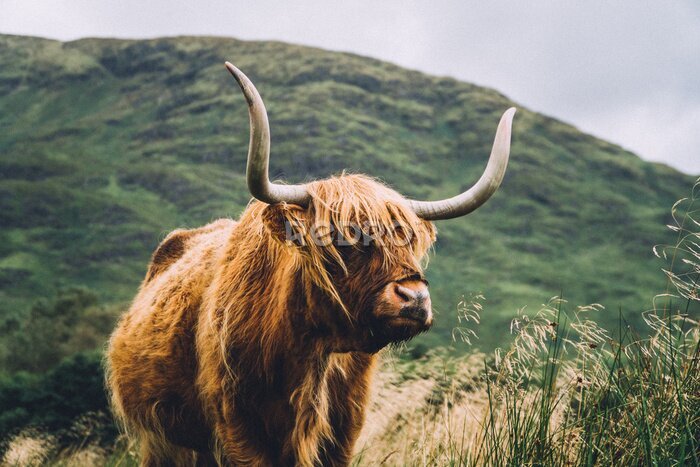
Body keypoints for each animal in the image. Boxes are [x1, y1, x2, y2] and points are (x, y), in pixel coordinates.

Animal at [106, 61, 515, 466]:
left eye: (408, 241)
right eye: (340, 238)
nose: (413, 298)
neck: (311, 351)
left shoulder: (343, 431)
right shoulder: (238, 427)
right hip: (161, 439)